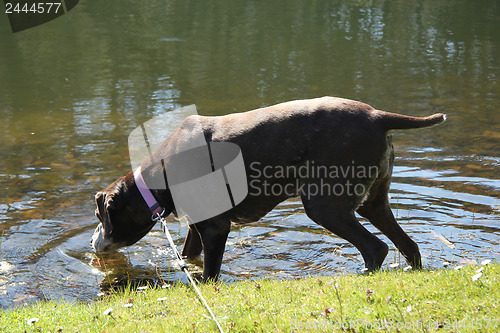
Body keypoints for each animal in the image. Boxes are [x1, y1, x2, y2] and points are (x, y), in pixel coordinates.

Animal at [92, 95, 448, 278]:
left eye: (99, 216)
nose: (95, 240)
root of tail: (378, 116)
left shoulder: (216, 228)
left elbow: (209, 276)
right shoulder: (199, 226)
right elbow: (188, 256)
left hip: (324, 205)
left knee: (376, 248)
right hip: (374, 203)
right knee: (409, 246)